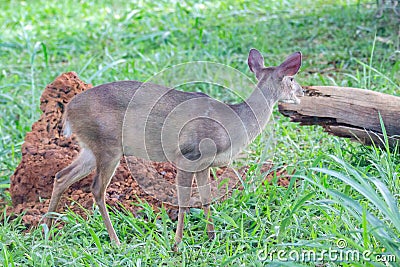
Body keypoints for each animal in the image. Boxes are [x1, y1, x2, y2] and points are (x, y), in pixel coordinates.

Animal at [45, 49, 304, 252]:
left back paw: (45, 231)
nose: (302, 92)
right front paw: (177, 244)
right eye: (291, 78)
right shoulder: (188, 155)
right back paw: (116, 242)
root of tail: (68, 111)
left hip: (91, 148)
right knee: (97, 188)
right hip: (108, 146)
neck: (233, 123)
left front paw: (211, 237)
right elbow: (184, 201)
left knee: (61, 176)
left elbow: (206, 197)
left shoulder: (205, 163)